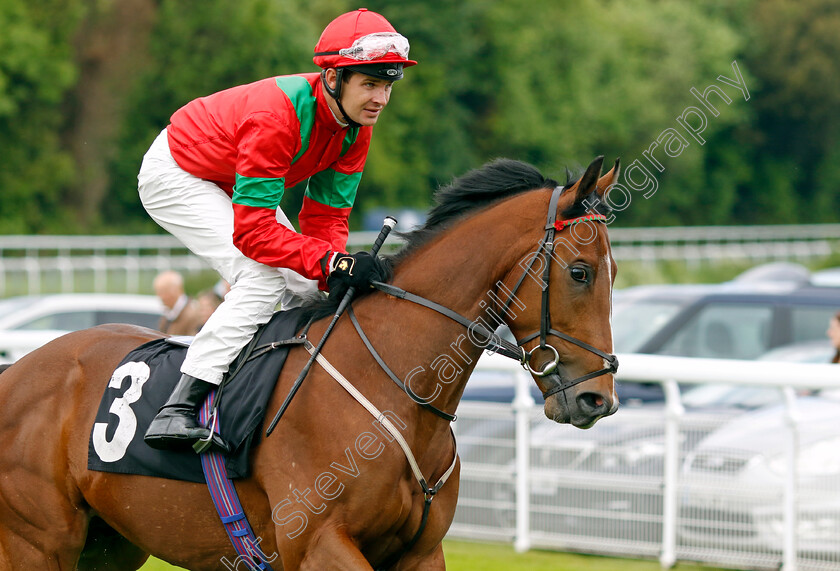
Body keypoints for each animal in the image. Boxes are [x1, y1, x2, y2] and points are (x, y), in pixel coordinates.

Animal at [0, 156, 616, 571]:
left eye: (612, 271)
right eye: (580, 271)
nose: (597, 398)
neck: (393, 386)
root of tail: (17, 371)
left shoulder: (422, 552)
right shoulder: (318, 543)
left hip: (108, 545)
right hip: (37, 543)